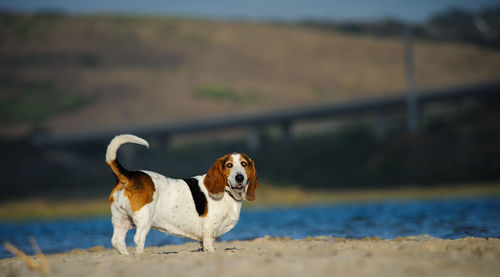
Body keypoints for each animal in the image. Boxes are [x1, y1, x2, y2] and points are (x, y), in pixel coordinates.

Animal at [108, 133, 260, 253]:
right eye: (229, 165)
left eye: (244, 164)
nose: (239, 177)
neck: (228, 193)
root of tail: (129, 175)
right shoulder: (209, 231)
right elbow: (210, 248)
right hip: (144, 220)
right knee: (138, 239)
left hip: (121, 220)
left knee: (117, 241)